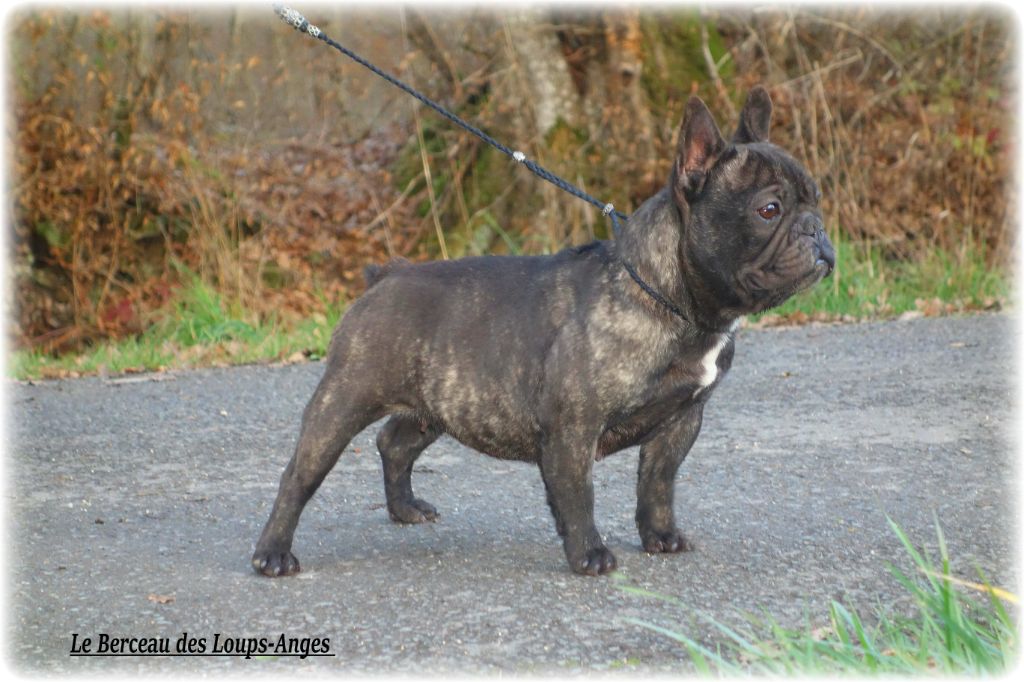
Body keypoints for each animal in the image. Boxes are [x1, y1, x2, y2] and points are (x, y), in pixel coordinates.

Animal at [252, 86, 835, 577]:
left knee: (395, 441)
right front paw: (590, 555)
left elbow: (657, 485)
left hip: (438, 403)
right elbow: (579, 495)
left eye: (816, 200)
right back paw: (273, 554)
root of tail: (387, 274)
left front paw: (661, 537)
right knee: (299, 475)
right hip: (344, 399)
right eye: (769, 209)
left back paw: (405, 509)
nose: (817, 231)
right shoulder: (574, 425)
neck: (675, 303)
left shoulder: (681, 422)